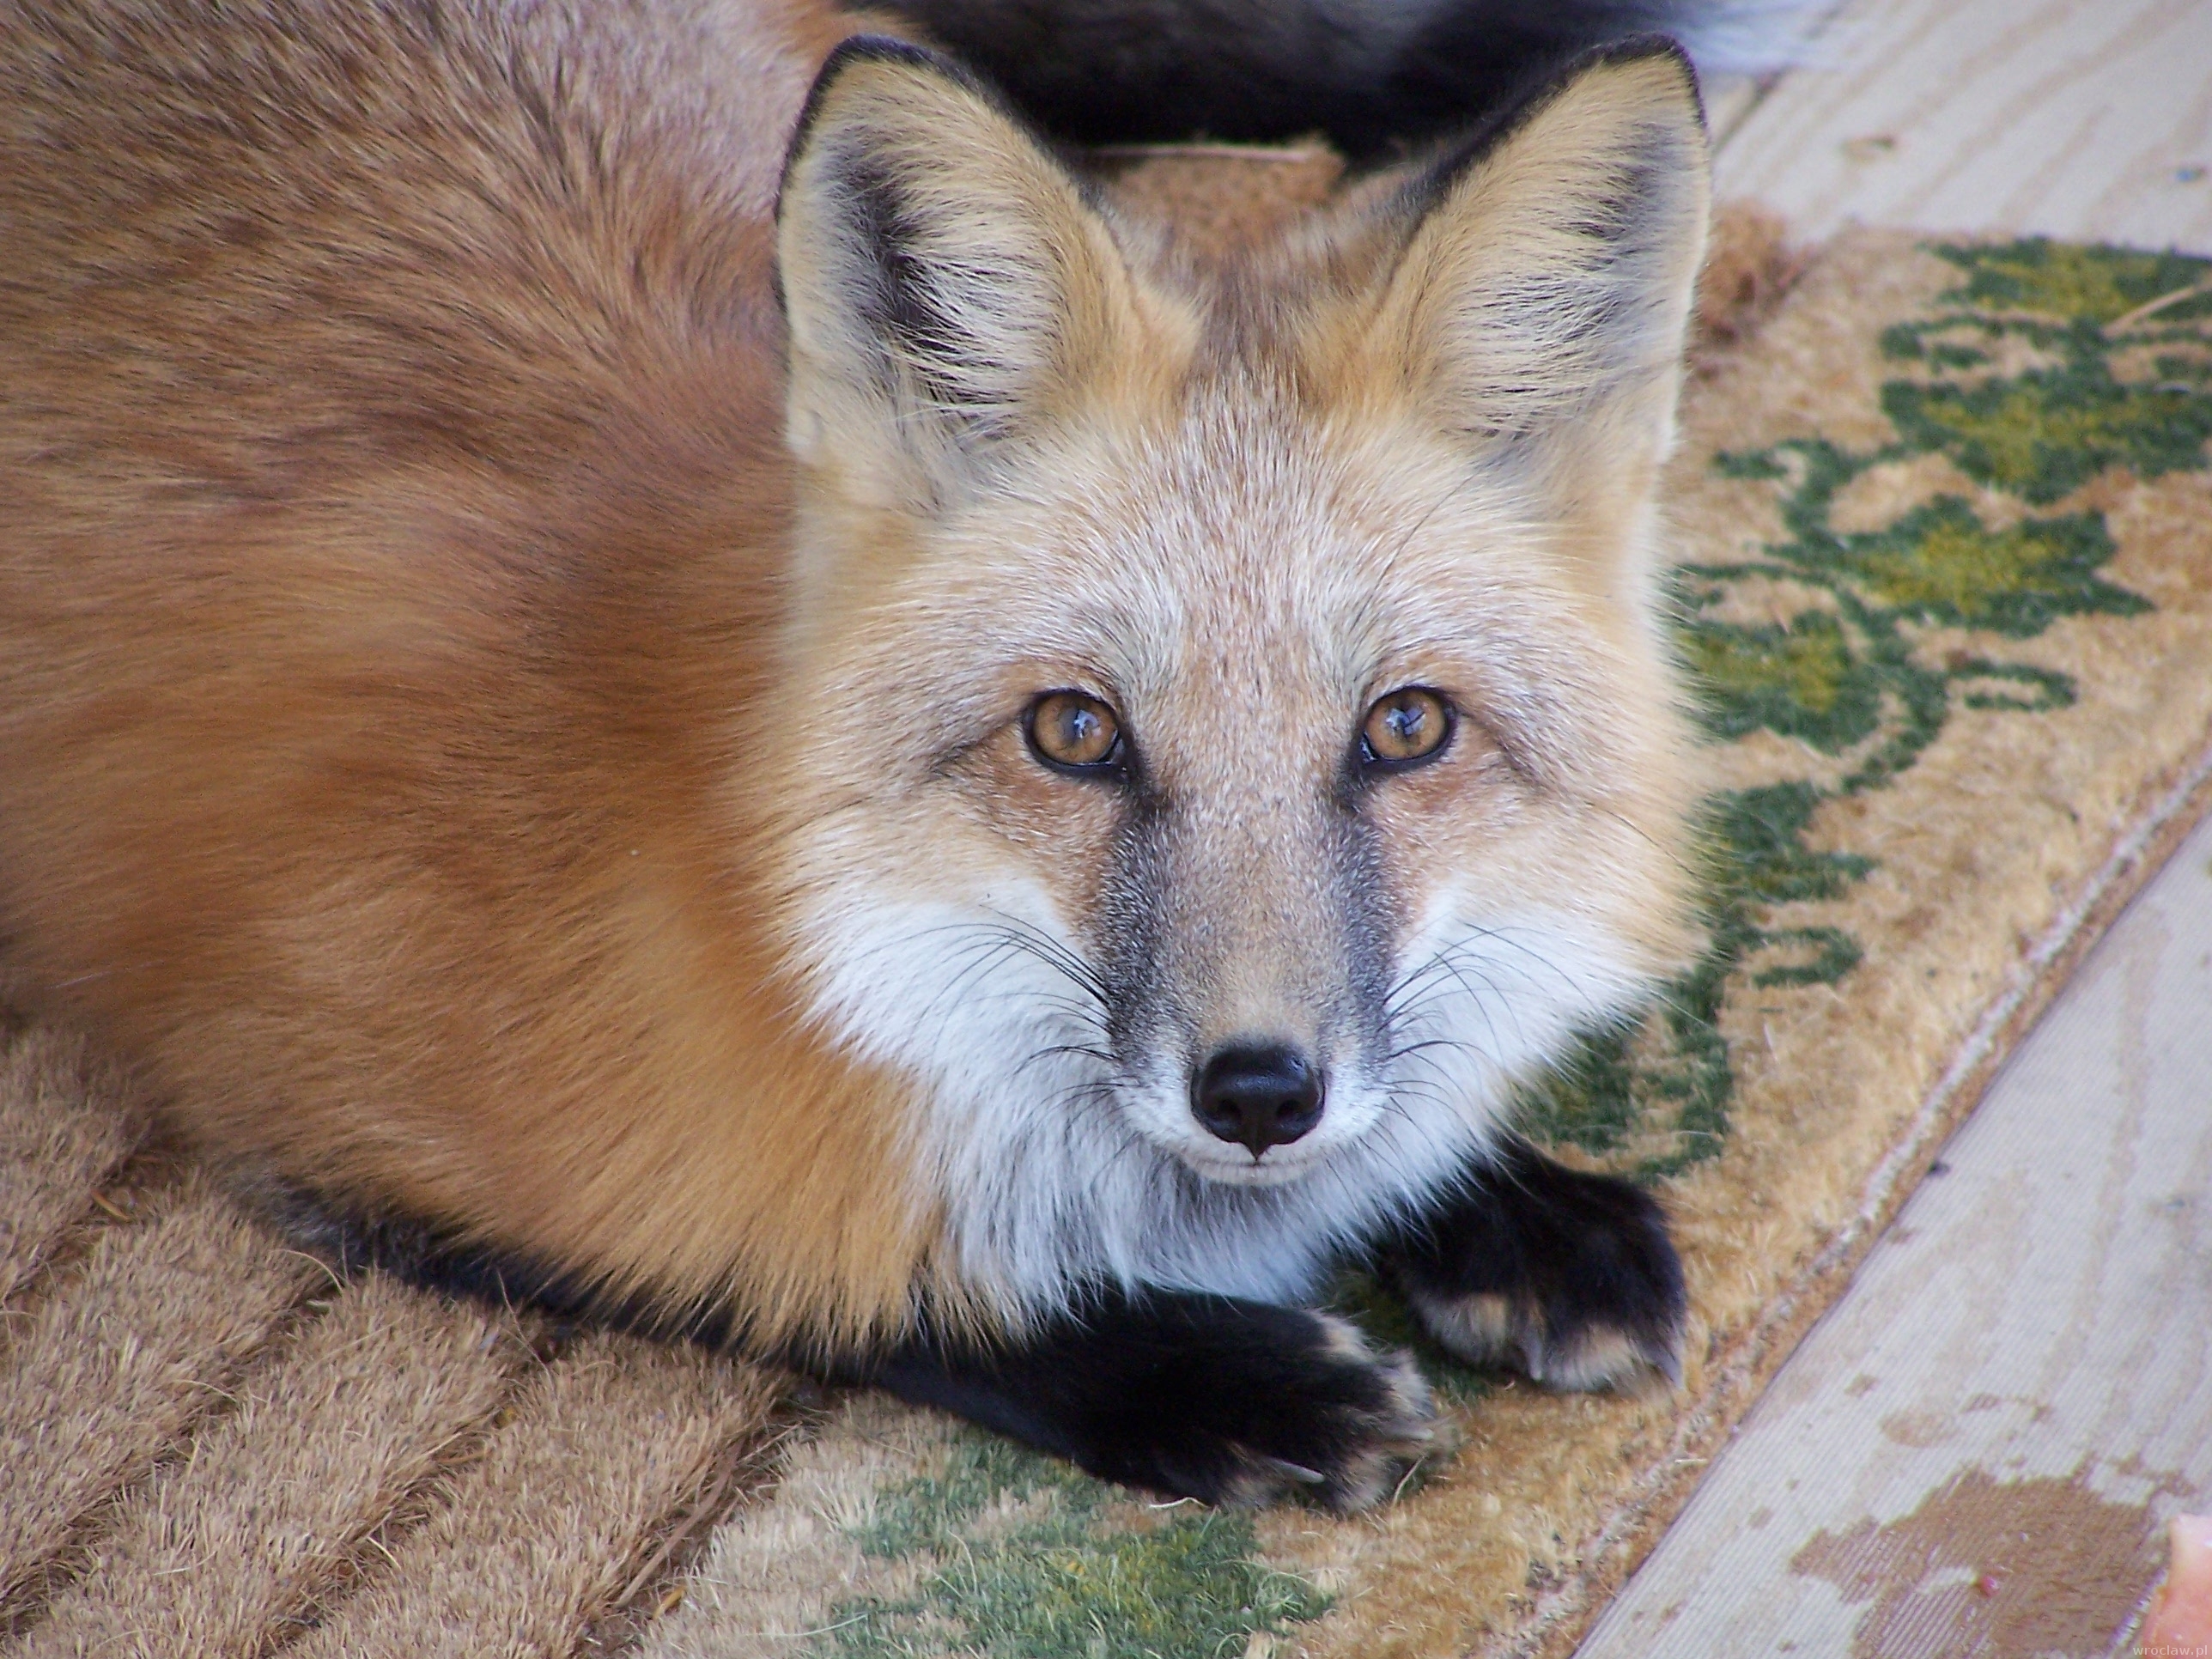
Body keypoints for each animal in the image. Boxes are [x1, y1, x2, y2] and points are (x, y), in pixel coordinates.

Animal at [0, 0, 1769, 1504]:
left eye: (1406, 729)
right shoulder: (307, 1094)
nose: (1261, 1093)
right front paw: (1217, 1377)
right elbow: (821, 1278)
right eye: (1074, 734)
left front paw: (1510, 1206)